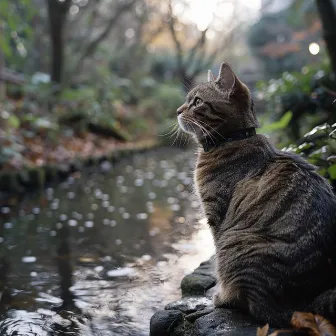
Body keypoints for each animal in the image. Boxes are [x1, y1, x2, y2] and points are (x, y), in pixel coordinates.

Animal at [176, 62, 336, 326]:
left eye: (197, 101)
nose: (178, 111)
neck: (232, 139)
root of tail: (301, 306)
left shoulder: (216, 216)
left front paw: (221, 295)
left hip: (233, 243)